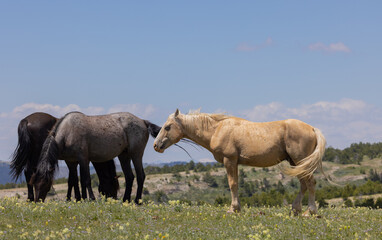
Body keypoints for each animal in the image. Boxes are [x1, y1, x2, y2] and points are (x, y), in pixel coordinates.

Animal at [29, 110, 160, 202]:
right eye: (34, 183)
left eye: (46, 183)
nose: (37, 201)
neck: (67, 133)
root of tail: (143, 121)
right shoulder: (71, 162)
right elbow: (75, 181)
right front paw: (79, 199)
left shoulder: (83, 159)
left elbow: (86, 180)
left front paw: (90, 199)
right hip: (124, 156)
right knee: (129, 177)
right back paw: (125, 200)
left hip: (136, 154)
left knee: (140, 176)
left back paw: (137, 201)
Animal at [152, 109, 328, 216]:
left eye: (167, 127)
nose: (156, 145)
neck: (217, 129)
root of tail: (312, 128)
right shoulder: (233, 162)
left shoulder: (229, 160)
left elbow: (233, 184)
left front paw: (233, 209)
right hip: (296, 163)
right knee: (304, 184)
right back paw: (295, 209)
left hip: (300, 161)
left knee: (311, 183)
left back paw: (310, 211)